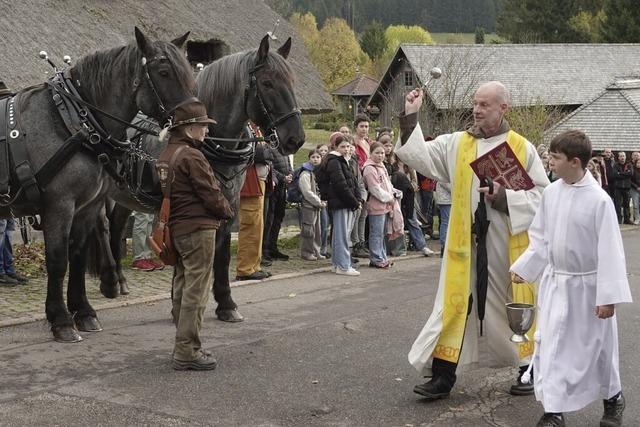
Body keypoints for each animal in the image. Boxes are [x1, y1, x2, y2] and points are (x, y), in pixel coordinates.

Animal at [0, 28, 195, 342]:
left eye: (188, 71)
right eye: (164, 72)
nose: (196, 121)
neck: (72, 120)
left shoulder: (87, 206)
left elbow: (77, 256)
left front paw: (84, 312)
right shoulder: (59, 205)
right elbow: (58, 260)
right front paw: (61, 320)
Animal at [92, 36, 304, 322]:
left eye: (291, 81)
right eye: (268, 83)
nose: (296, 139)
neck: (206, 140)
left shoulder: (227, 203)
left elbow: (221, 254)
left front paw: (226, 303)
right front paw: (179, 302)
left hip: (126, 194)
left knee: (116, 226)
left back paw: (122, 280)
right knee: (101, 226)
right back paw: (109, 282)